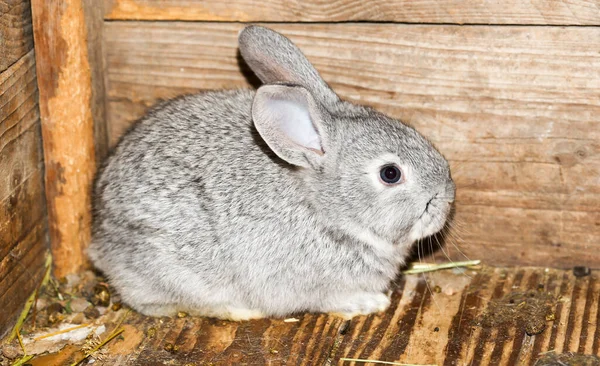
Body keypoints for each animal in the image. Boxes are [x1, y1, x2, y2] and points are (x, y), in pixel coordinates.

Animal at [89, 25, 454, 320]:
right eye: (390, 174)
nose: (448, 197)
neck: (326, 210)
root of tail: (100, 239)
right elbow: (330, 299)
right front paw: (369, 303)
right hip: (177, 271)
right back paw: (240, 311)